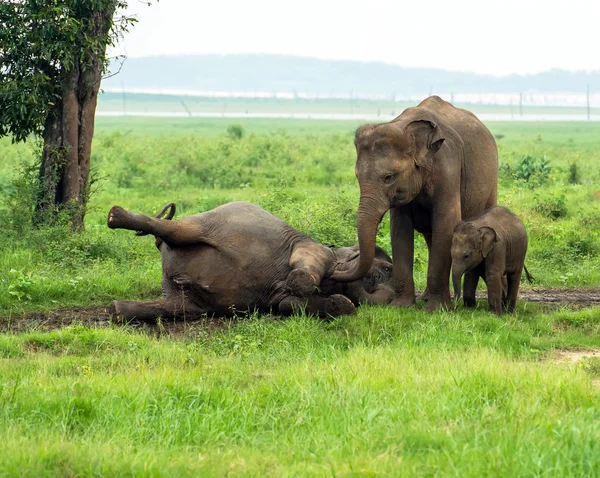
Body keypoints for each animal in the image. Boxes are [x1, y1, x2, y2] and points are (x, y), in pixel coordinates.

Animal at [108, 201, 396, 322]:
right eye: (386, 268)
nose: (382, 279)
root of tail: (162, 250)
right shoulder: (314, 248)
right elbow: (302, 267)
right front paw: (303, 285)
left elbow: (286, 304)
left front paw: (340, 303)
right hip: (209, 223)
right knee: (179, 230)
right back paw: (115, 216)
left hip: (186, 299)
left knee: (175, 308)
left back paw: (116, 311)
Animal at [332, 97, 496, 314]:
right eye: (357, 177)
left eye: (388, 177)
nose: (334, 270)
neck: (404, 127)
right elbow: (400, 231)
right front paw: (401, 308)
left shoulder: (448, 169)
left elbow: (446, 225)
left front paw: (436, 310)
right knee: (430, 238)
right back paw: (426, 297)